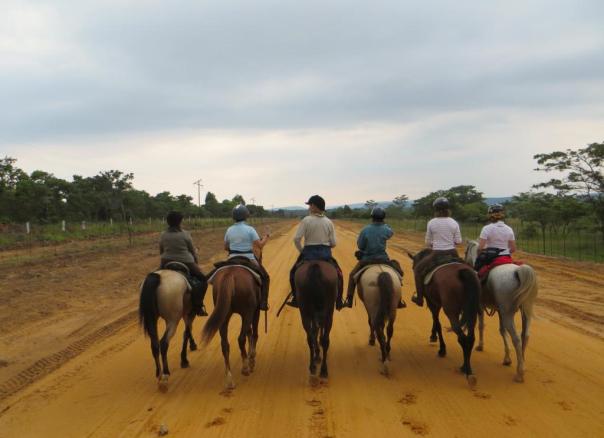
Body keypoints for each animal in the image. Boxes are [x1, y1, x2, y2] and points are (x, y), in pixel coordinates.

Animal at [407, 249, 480, 386]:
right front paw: (433, 336)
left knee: (462, 337)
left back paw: (467, 371)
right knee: (470, 337)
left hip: (451, 311)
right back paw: (466, 367)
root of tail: (462, 272)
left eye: (414, 267)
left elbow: (437, 322)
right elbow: (435, 320)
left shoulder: (432, 302)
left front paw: (441, 348)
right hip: (472, 311)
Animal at [464, 240, 539, 382]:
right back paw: (522, 363)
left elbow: (481, 325)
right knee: (525, 335)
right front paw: (507, 358)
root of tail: (518, 271)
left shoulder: (481, 306)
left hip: (508, 315)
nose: (466, 263)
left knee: (517, 338)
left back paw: (519, 373)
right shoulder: (499, 311)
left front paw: (480, 346)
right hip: (525, 312)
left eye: (465, 252)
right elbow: (501, 330)